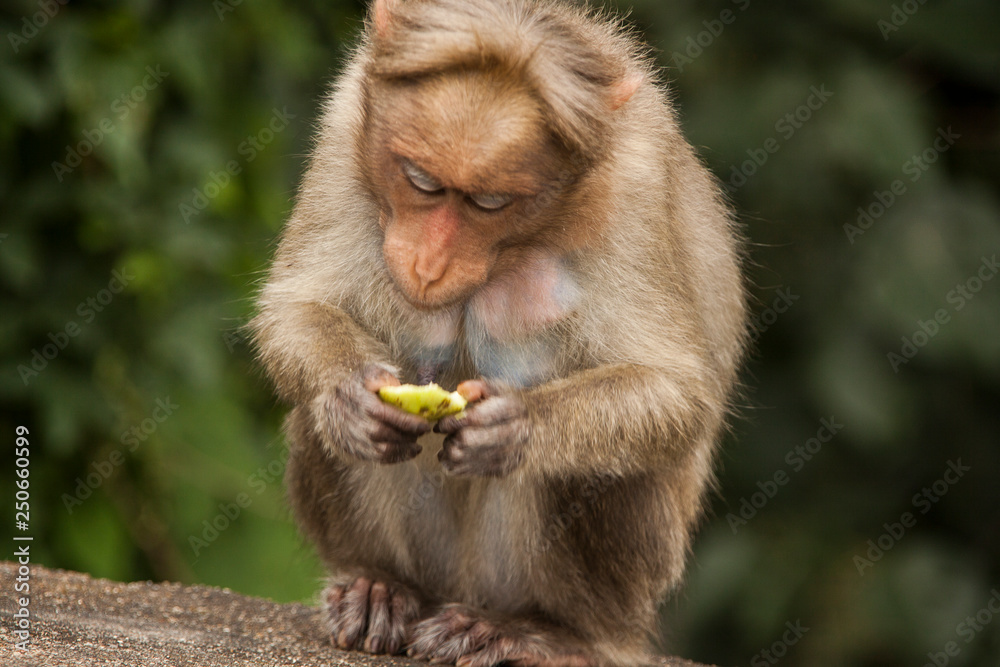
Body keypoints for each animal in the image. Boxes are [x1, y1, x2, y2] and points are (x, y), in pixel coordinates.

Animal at [250, 0, 747, 665]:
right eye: (420, 179)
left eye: (488, 202)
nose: (428, 264)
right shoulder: (343, 119)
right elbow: (296, 303)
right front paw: (348, 399)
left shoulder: (633, 187)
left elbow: (675, 391)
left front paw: (518, 428)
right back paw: (379, 585)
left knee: (595, 472)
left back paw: (547, 632)